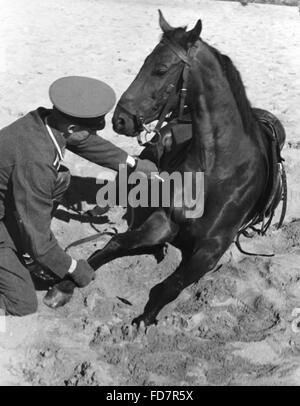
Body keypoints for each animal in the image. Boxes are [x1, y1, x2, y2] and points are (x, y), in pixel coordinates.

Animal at [44, 10, 286, 326]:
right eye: (145, 61)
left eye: (160, 69)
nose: (120, 120)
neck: (217, 167)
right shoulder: (163, 221)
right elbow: (114, 244)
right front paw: (64, 287)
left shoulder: (212, 247)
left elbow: (167, 287)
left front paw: (140, 324)